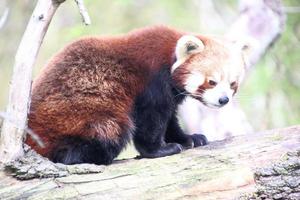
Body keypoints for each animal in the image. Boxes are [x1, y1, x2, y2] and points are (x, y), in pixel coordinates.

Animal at [25, 25, 246, 165]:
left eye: (232, 84)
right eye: (212, 81)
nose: (223, 100)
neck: (169, 57)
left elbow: (170, 120)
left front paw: (189, 138)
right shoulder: (152, 82)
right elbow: (151, 119)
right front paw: (158, 150)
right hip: (83, 111)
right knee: (111, 129)